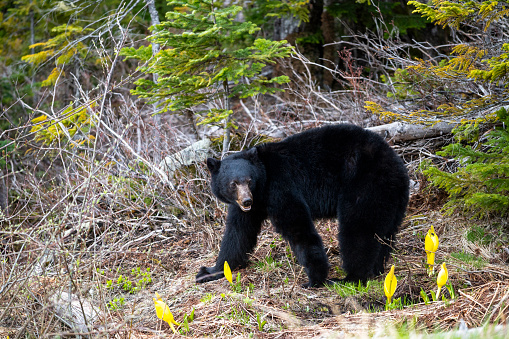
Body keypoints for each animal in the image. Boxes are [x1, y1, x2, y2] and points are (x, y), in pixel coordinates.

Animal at [195, 125, 408, 286]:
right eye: (233, 184)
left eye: (248, 180)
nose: (247, 200)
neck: (263, 181)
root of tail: (395, 161)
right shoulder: (249, 207)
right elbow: (238, 233)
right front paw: (211, 271)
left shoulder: (281, 186)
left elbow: (297, 225)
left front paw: (315, 279)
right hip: (393, 198)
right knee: (386, 233)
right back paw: (377, 269)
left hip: (364, 184)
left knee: (358, 229)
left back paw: (351, 277)